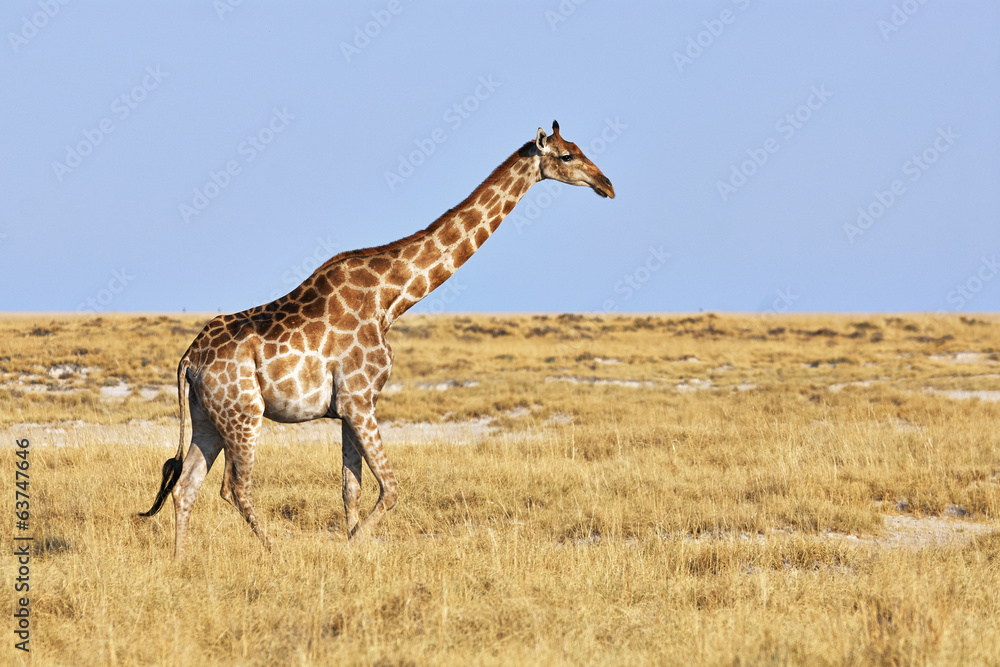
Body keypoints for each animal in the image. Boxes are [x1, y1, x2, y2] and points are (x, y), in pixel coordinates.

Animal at [140, 121, 614, 557]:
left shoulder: (350, 406)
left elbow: (352, 489)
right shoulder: (359, 400)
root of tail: (189, 359)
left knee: (185, 487)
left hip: (207, 417)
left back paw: (180, 561)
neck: (390, 298)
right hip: (244, 414)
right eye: (567, 156)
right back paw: (275, 553)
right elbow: (391, 488)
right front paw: (353, 547)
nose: (606, 185)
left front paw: (354, 549)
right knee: (235, 488)